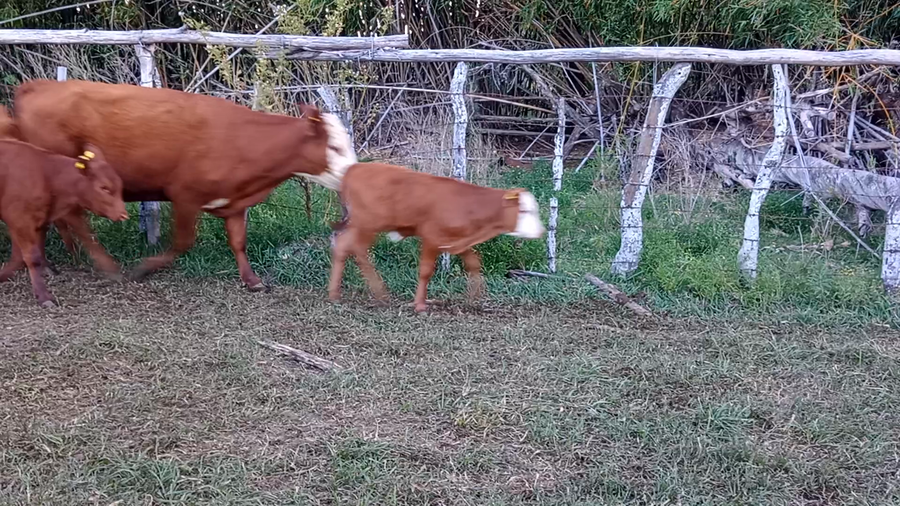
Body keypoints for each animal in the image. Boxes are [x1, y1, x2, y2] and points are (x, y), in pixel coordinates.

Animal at [0, 141, 128, 306]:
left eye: (119, 186)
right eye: (104, 187)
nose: (123, 214)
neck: (47, 176)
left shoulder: (33, 223)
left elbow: (19, 256)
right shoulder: (21, 222)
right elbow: (31, 258)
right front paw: (44, 296)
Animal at [13, 79, 357, 290]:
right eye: (334, 147)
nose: (353, 173)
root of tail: (38, 85)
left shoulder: (233, 203)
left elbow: (238, 241)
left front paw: (251, 279)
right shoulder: (184, 195)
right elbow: (183, 242)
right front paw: (145, 269)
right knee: (75, 220)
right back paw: (102, 265)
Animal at [327, 162, 545, 312]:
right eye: (524, 210)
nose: (541, 232)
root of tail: (355, 167)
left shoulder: (457, 239)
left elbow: (473, 263)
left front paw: (474, 297)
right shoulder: (432, 237)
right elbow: (425, 271)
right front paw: (419, 304)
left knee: (345, 247)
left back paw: (336, 294)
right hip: (366, 224)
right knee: (354, 248)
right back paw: (377, 293)